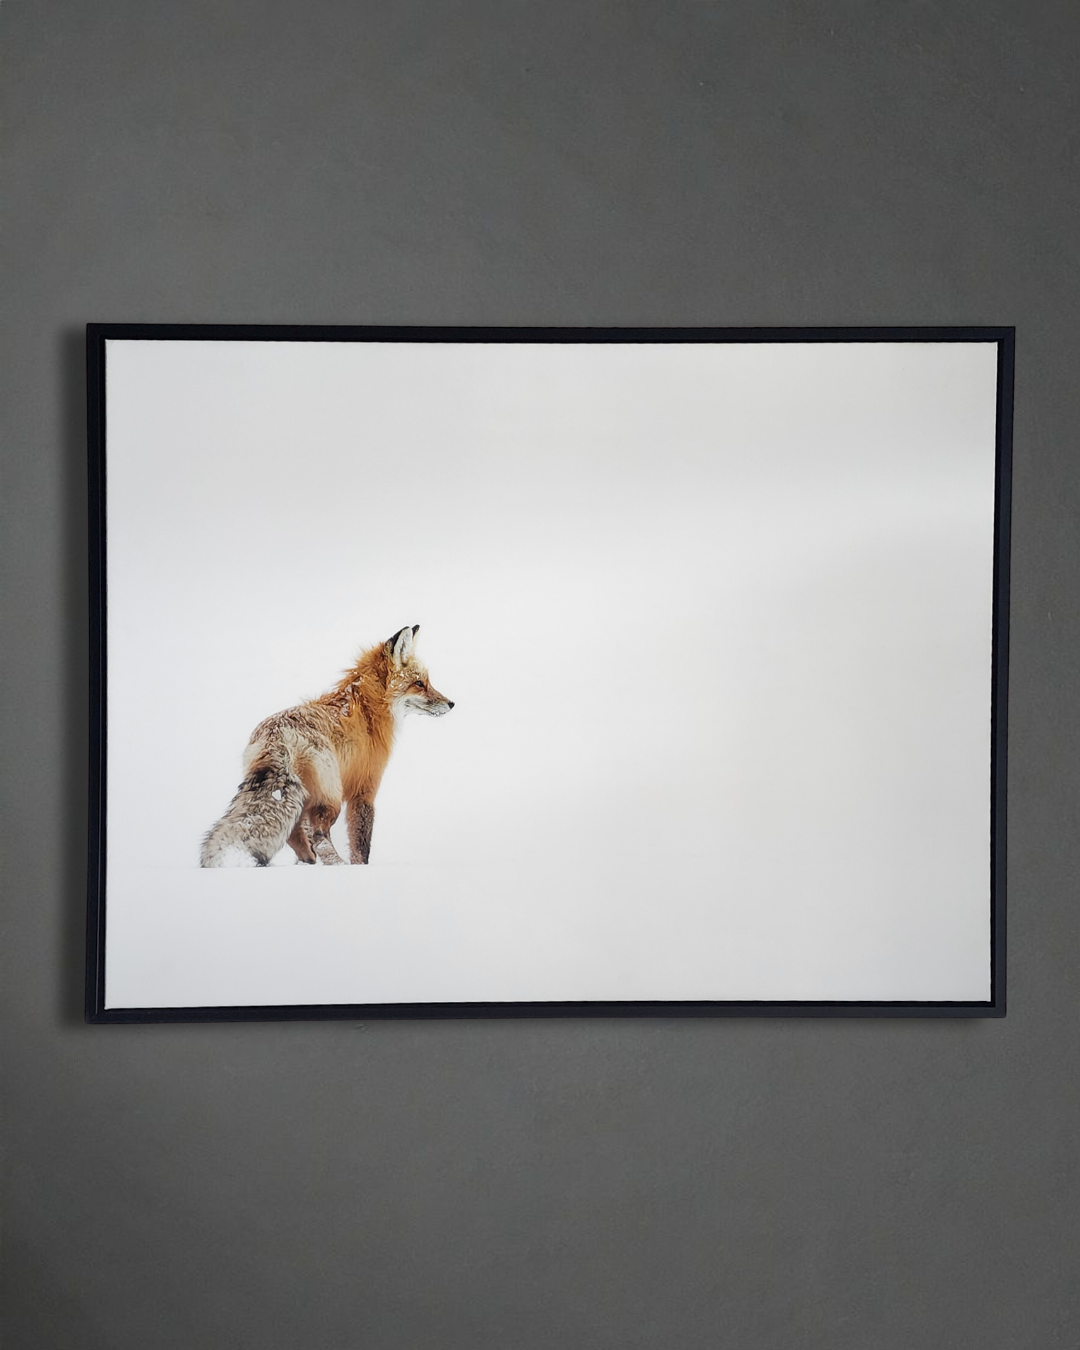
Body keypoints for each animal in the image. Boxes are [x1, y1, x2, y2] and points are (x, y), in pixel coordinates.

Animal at [199, 625, 453, 868]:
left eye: (426, 682)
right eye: (419, 683)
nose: (451, 703)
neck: (368, 709)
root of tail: (276, 735)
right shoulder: (364, 789)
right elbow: (361, 845)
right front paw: (361, 868)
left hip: (306, 795)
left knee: (297, 833)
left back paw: (308, 862)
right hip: (330, 798)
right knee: (319, 836)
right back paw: (334, 865)